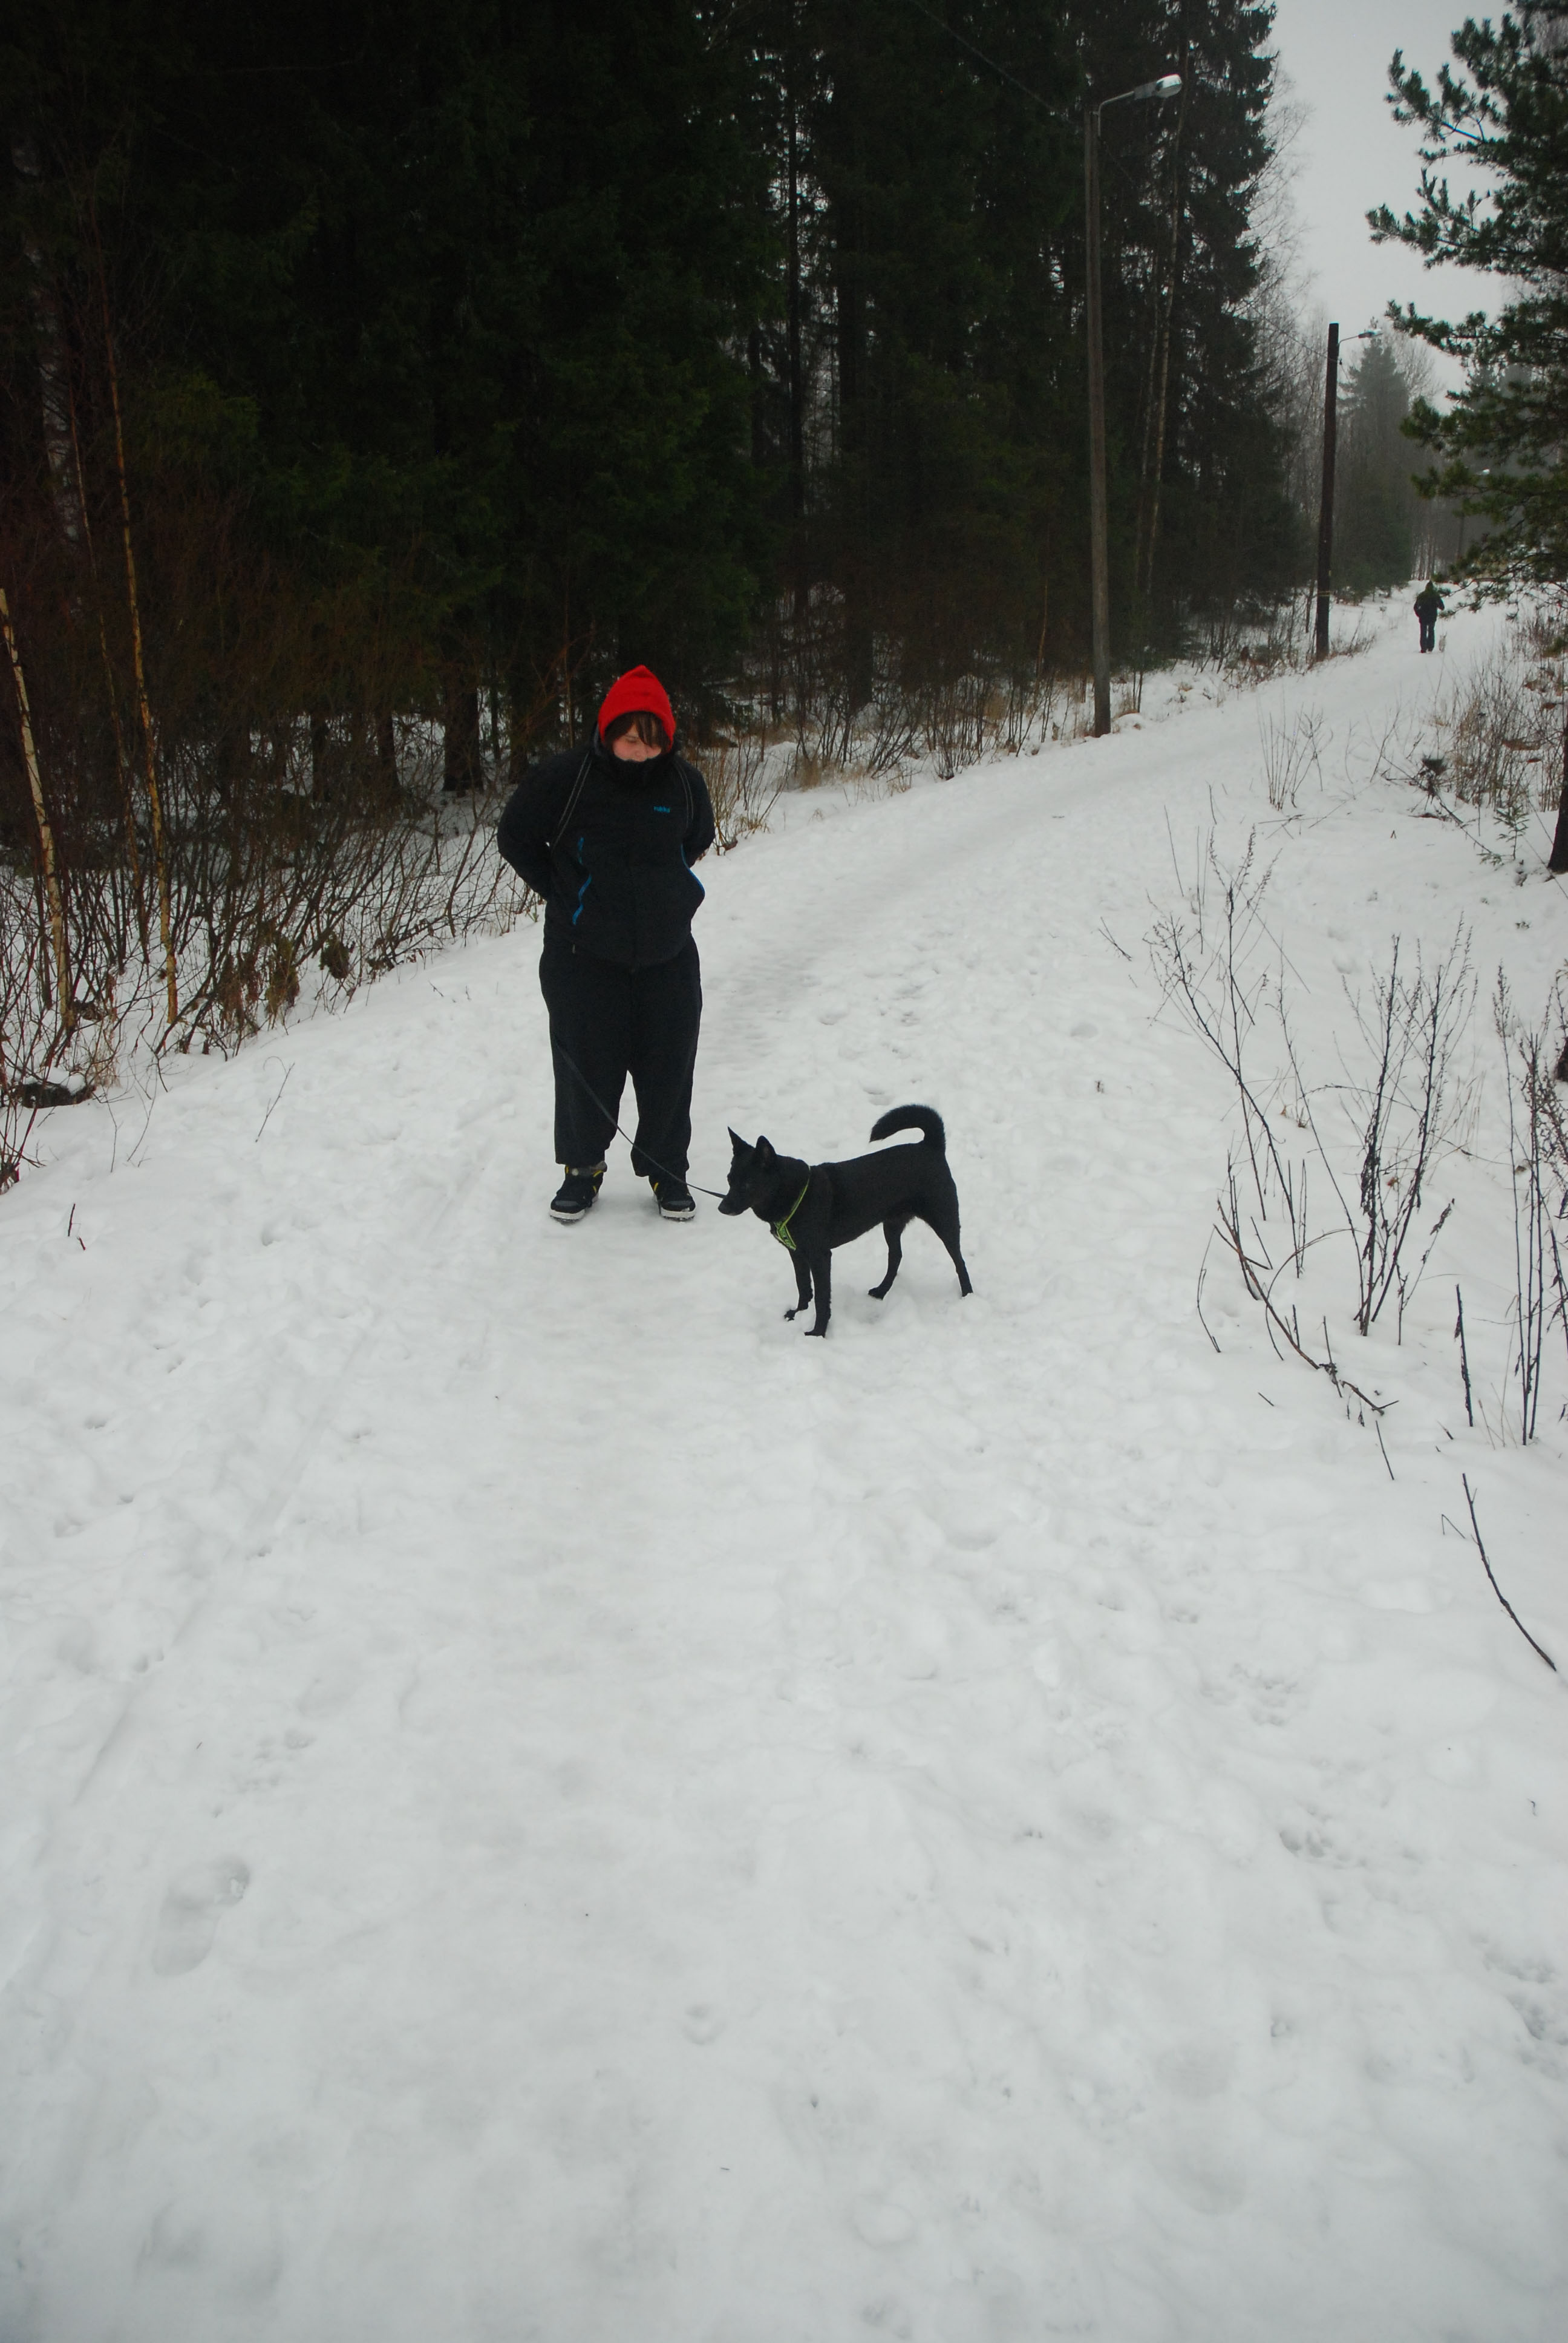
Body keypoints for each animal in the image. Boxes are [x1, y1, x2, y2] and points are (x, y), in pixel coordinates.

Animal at [718, 1105, 972, 1337]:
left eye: (748, 1184)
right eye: (730, 1179)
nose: (722, 1208)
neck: (794, 1196)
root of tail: (930, 1145)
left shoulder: (820, 1257)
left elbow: (821, 1299)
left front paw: (817, 1333)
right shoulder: (797, 1253)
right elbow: (803, 1288)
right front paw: (798, 1315)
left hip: (944, 1219)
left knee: (959, 1261)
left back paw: (968, 1296)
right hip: (891, 1224)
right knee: (896, 1257)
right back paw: (881, 1291)